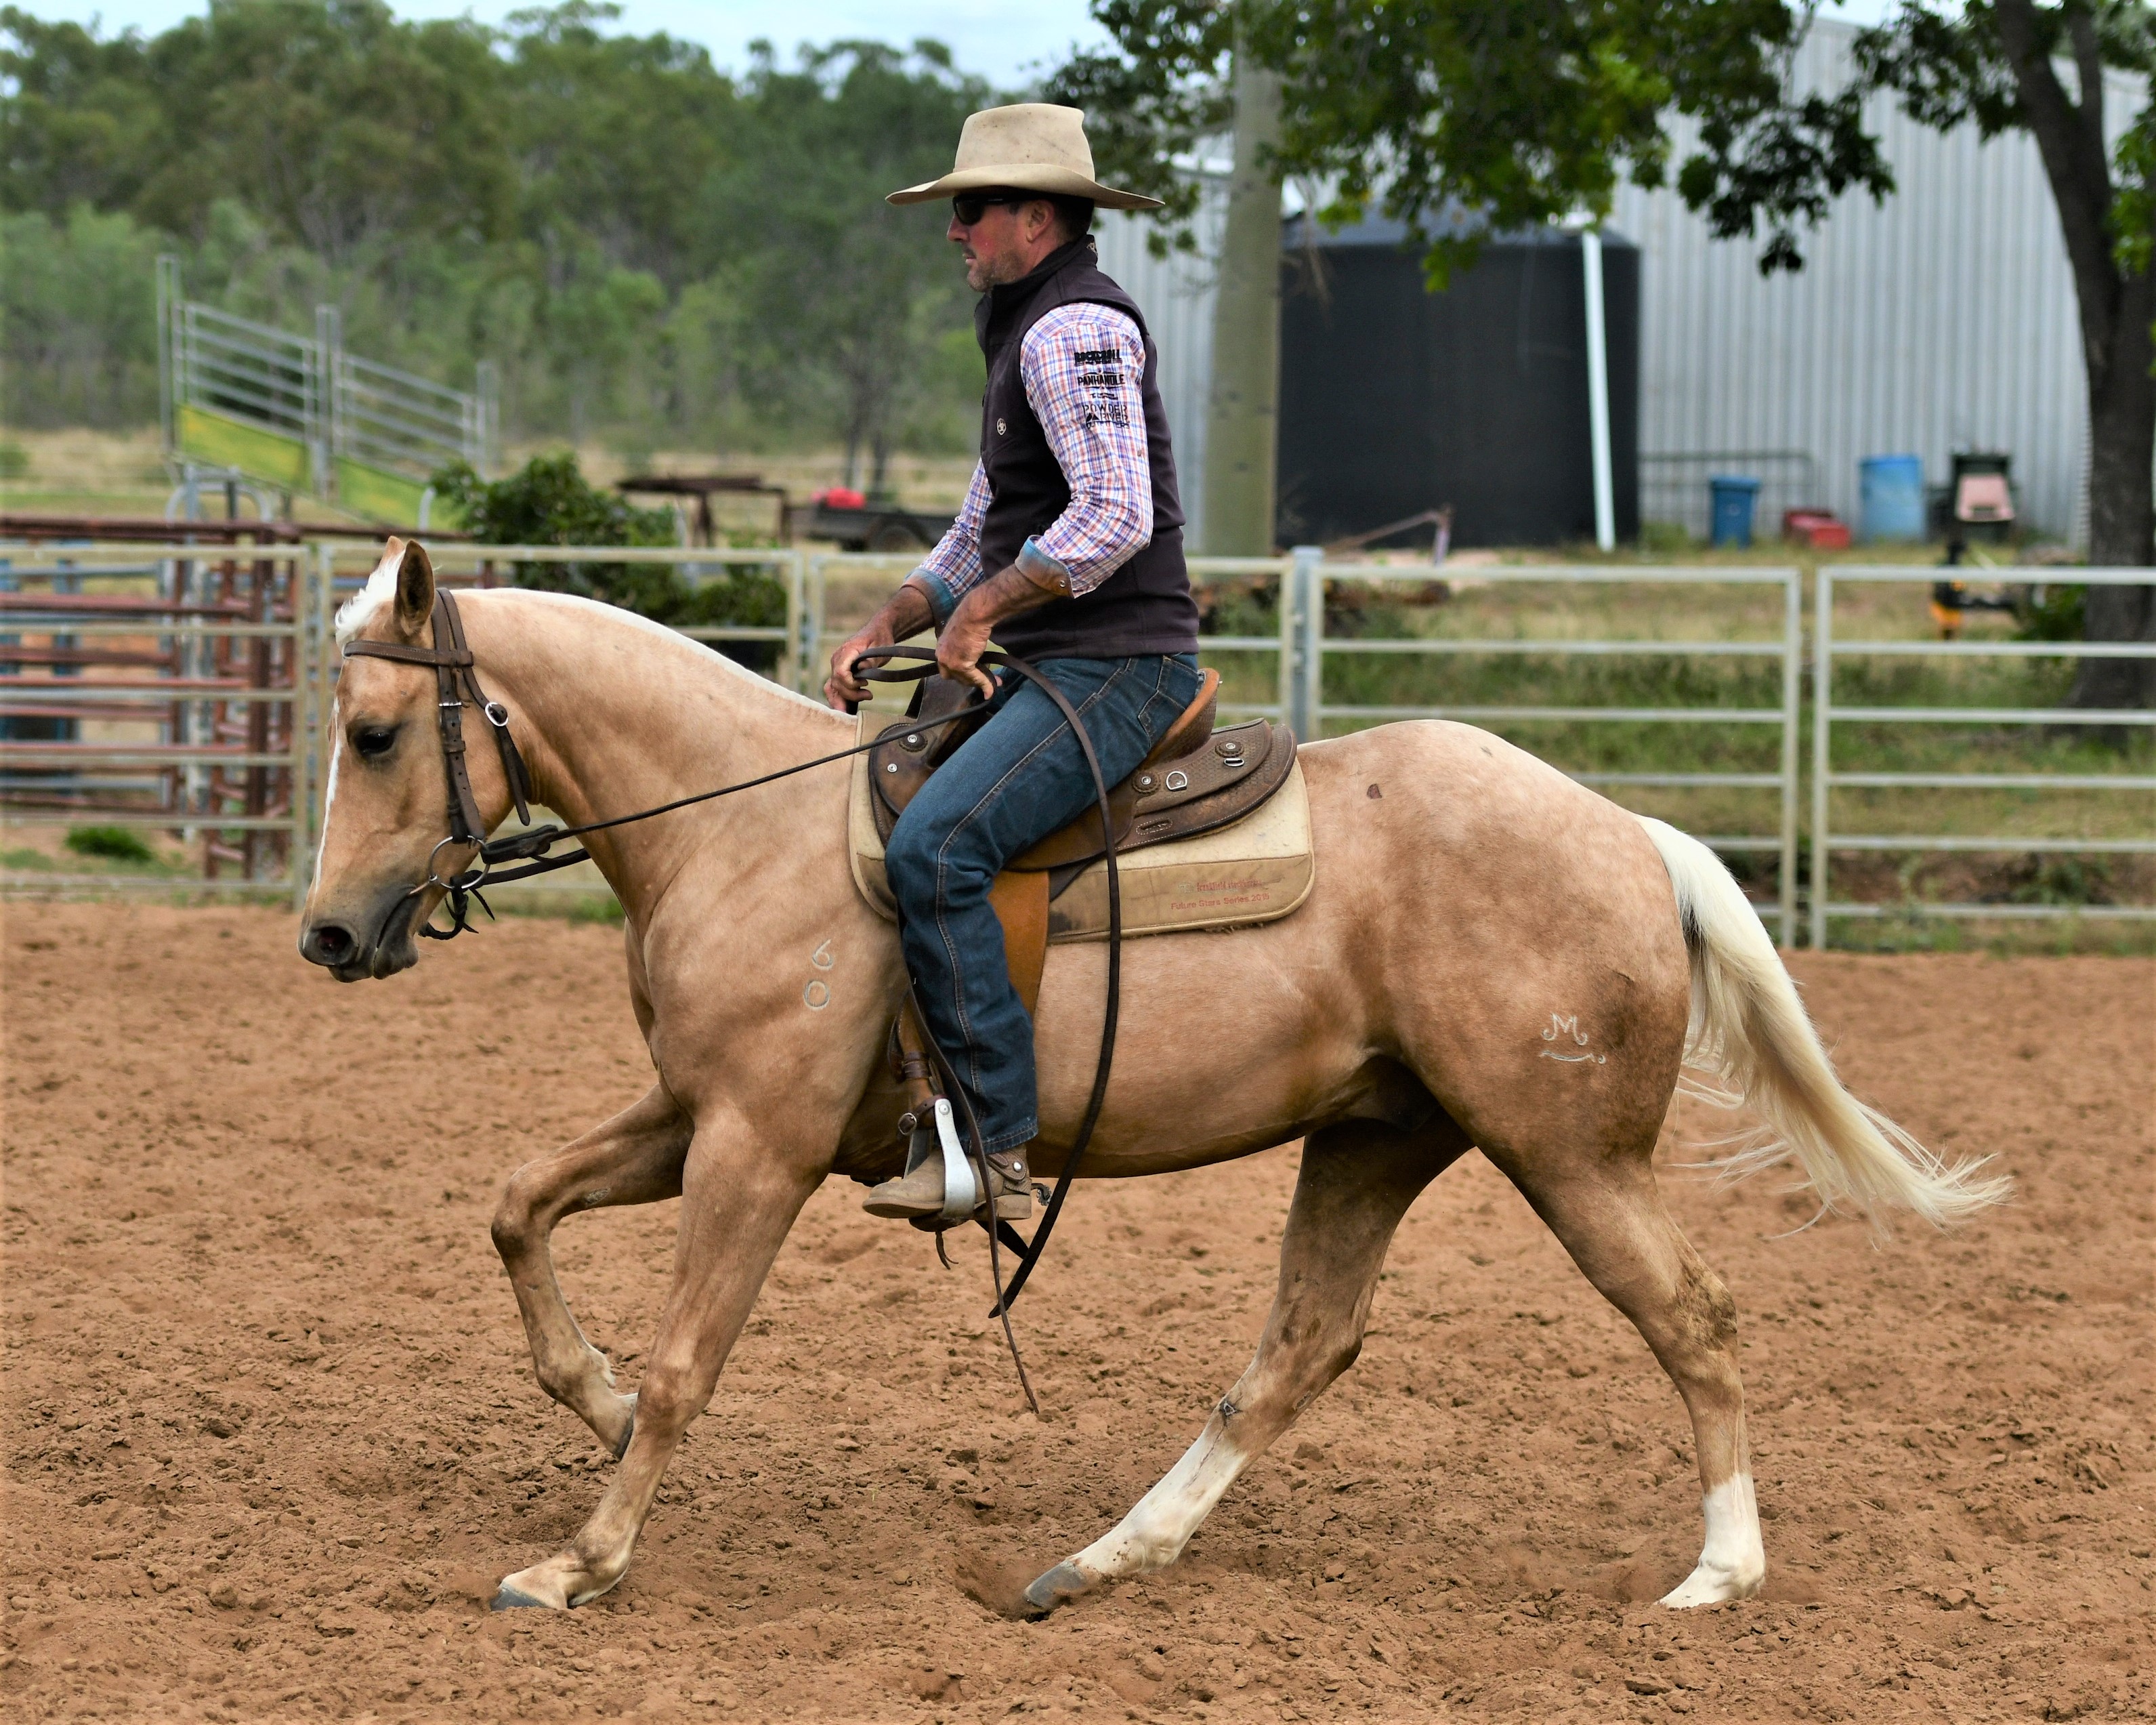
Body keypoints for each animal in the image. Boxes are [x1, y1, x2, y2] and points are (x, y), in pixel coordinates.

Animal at [299, 539, 2004, 1617]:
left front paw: (577, 1560)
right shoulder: (695, 1113)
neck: (741, 825)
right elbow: (517, 1206)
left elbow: (683, 1360)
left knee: (1691, 1317)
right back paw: (1103, 1559)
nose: (323, 930)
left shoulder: (755, 1145)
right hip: (1380, 1137)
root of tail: (1630, 835)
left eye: (374, 732)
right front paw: (584, 1402)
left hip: (1566, 1153)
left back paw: (1718, 1571)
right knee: (1300, 1346)